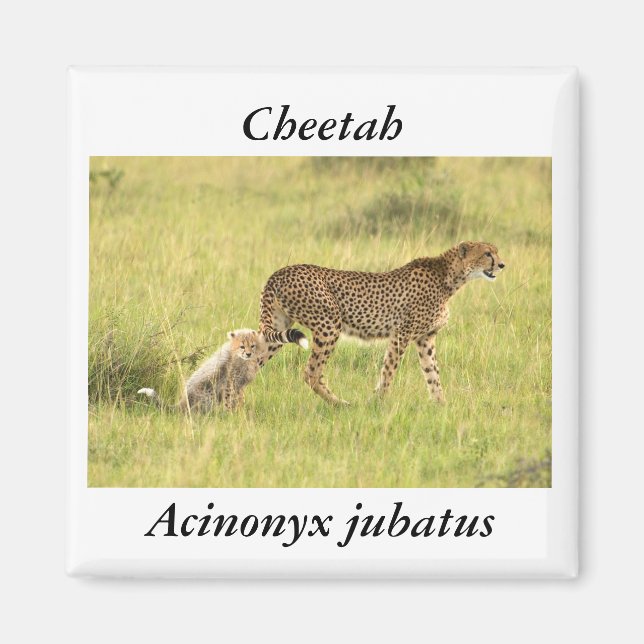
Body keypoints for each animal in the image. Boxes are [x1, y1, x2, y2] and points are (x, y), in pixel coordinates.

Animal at [138, 329, 267, 413]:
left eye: (252, 346)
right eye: (242, 346)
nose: (248, 353)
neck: (242, 359)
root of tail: (183, 402)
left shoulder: (240, 385)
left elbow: (239, 399)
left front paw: (240, 412)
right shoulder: (228, 384)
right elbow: (229, 401)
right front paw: (231, 414)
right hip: (208, 392)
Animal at [257, 241, 505, 404]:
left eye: (496, 251)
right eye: (487, 253)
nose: (502, 265)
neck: (450, 276)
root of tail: (278, 273)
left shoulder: (425, 338)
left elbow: (432, 373)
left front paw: (441, 405)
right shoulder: (402, 333)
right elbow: (389, 370)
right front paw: (378, 401)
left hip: (278, 329)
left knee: (251, 358)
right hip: (329, 324)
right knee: (311, 372)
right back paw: (341, 404)